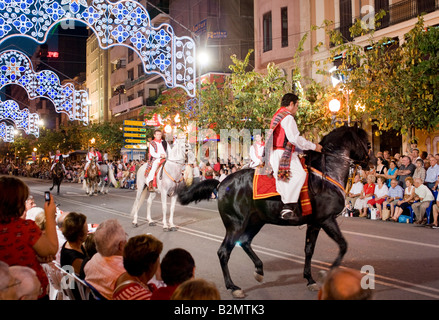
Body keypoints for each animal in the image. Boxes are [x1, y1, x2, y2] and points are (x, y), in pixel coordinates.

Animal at [177, 125, 372, 298]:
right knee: (224, 251)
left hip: (256, 221)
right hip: (236, 224)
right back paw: (233, 287)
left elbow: (309, 249)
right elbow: (343, 245)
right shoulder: (327, 219)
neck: (326, 174)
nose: (371, 163)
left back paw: (259, 269)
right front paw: (327, 274)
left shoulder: (314, 223)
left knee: (245, 242)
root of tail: (221, 183)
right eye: (368, 143)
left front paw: (310, 279)